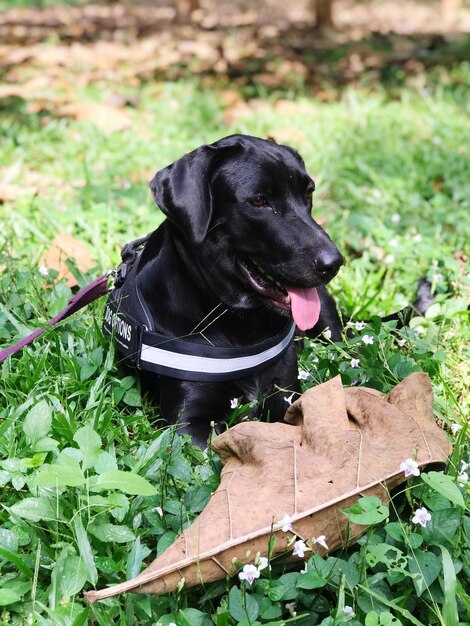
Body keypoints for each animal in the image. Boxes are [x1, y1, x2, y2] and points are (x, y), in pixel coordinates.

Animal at [106, 135, 346, 446]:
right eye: (259, 200)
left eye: (308, 194)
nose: (334, 263)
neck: (241, 325)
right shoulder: (188, 424)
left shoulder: (287, 398)